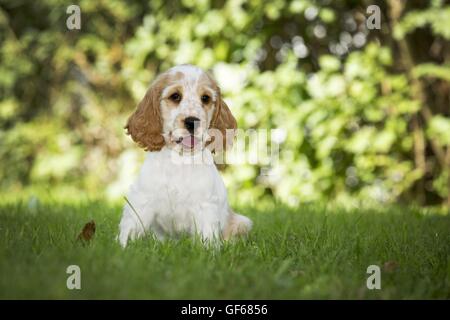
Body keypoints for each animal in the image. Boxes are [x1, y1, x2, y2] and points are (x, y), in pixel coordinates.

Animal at [118, 64, 253, 248]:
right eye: (175, 96)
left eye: (205, 98)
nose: (192, 121)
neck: (180, 160)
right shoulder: (142, 199)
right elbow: (131, 226)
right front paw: (122, 247)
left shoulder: (205, 205)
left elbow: (206, 234)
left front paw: (209, 250)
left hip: (242, 222)